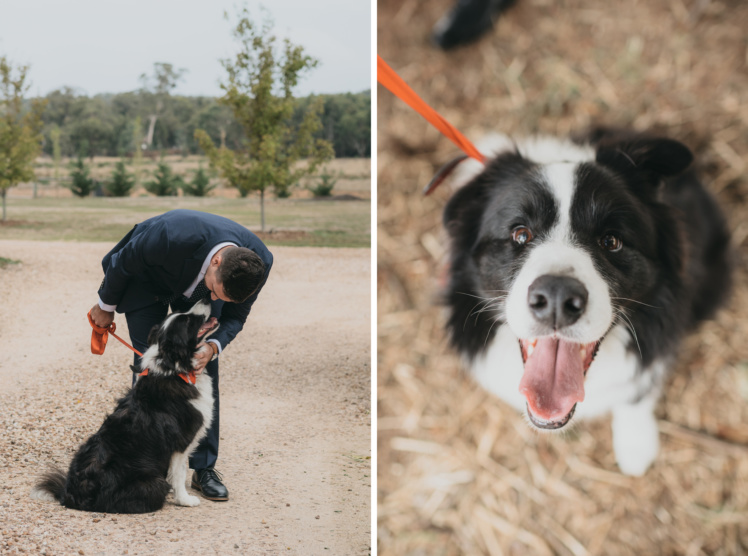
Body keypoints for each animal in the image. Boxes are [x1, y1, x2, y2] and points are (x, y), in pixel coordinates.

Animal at [32, 300, 219, 512]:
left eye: (182, 313)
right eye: (187, 321)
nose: (206, 299)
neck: (175, 368)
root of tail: (70, 496)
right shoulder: (180, 443)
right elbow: (180, 473)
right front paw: (185, 499)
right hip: (155, 484)